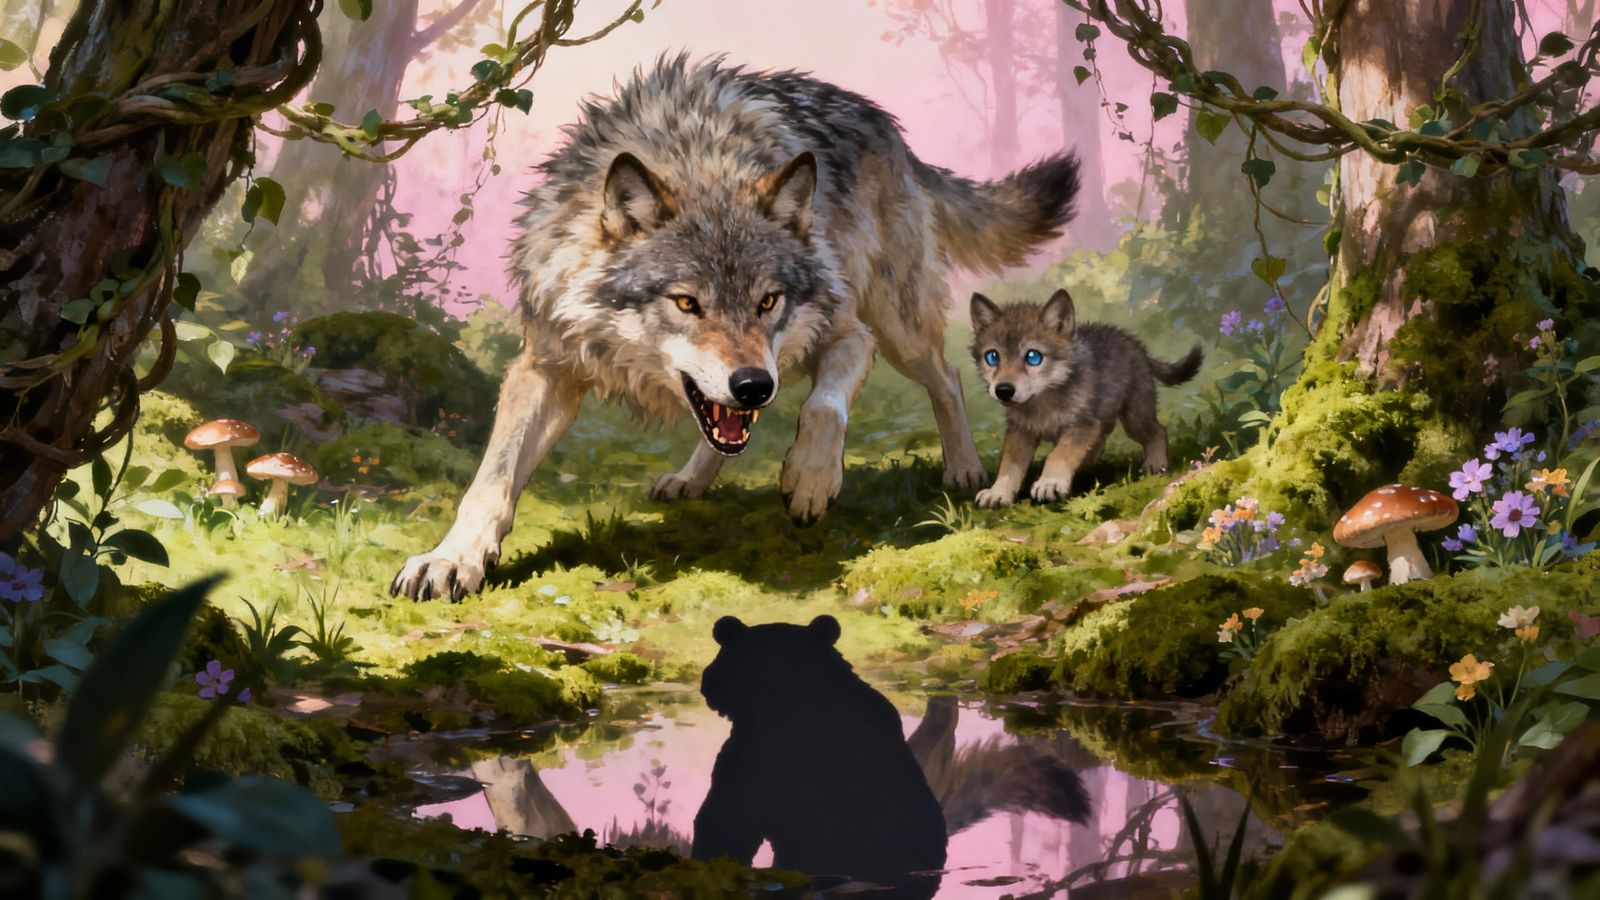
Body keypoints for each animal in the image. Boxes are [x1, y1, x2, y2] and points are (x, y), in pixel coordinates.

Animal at [392, 55, 1081, 601]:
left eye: (768, 300)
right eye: (687, 303)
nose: (753, 384)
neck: (697, 162)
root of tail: (884, 123)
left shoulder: (845, 332)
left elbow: (822, 409)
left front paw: (809, 480)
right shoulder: (547, 365)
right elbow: (492, 478)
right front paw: (450, 559)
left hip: (896, 324)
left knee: (948, 377)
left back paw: (963, 468)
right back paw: (691, 478)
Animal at [968, 289, 1202, 508]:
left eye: (1033, 357)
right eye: (992, 357)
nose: (1003, 390)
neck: (1043, 402)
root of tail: (1134, 343)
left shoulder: (1083, 425)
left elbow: (1058, 454)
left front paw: (1050, 483)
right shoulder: (1021, 431)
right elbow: (1009, 465)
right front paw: (998, 493)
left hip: (1135, 418)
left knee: (1158, 432)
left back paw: (1156, 464)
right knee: (1103, 439)